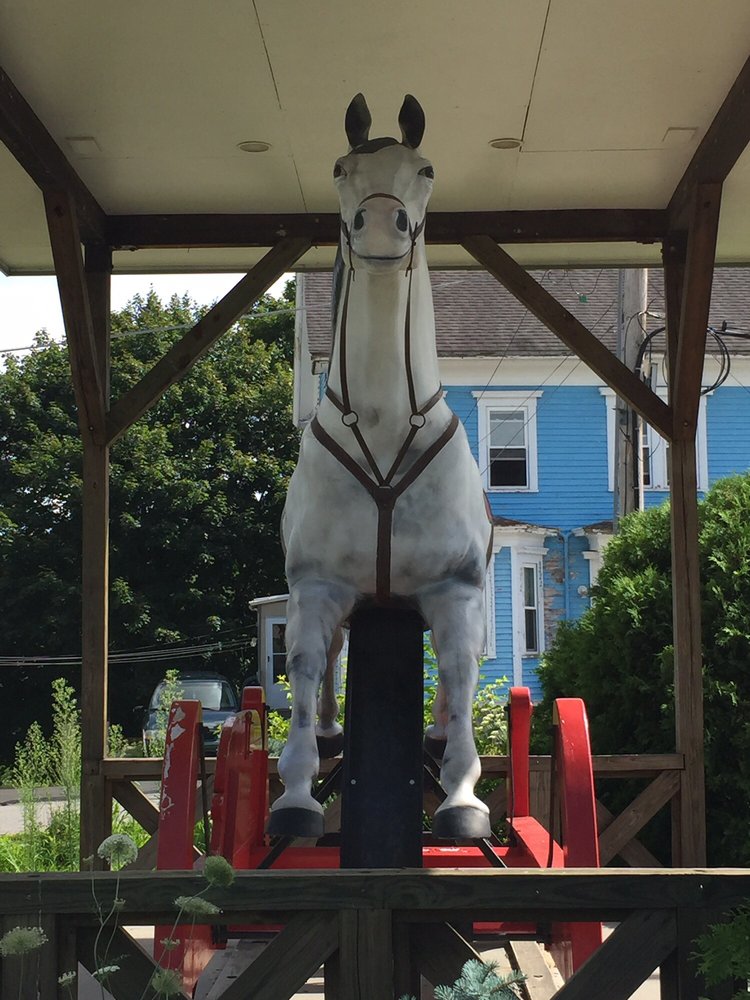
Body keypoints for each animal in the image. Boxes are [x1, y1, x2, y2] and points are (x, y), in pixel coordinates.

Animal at [268, 93, 493, 840]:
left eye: (425, 169)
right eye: (343, 167)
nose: (379, 225)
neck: (386, 424)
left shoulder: (455, 589)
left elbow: (457, 671)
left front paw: (461, 796)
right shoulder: (316, 587)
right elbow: (308, 668)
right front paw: (297, 793)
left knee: (460, 674)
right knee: (333, 659)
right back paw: (330, 735)